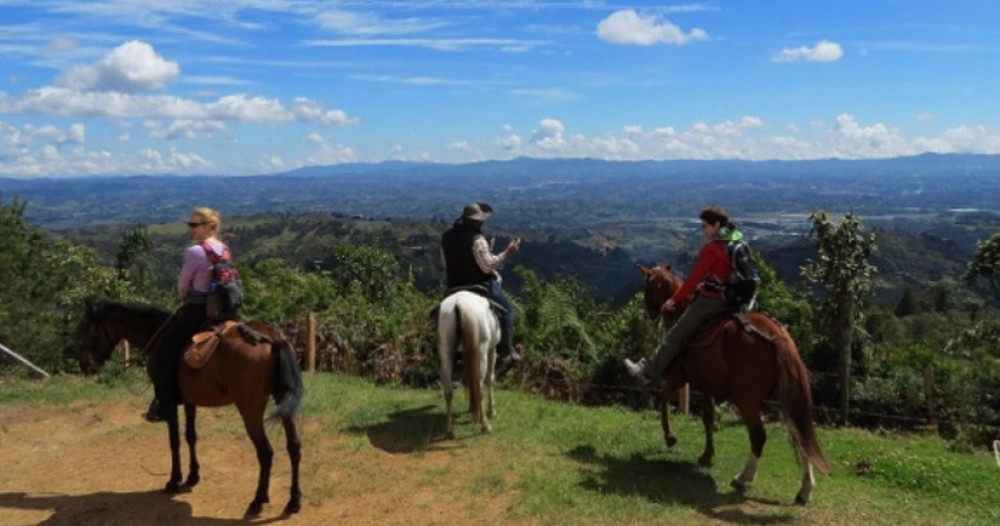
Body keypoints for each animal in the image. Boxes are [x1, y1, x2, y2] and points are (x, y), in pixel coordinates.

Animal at [77, 302, 302, 520]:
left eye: (91, 330)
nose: (85, 364)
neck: (154, 333)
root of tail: (272, 338)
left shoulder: (168, 400)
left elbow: (174, 441)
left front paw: (174, 480)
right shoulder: (189, 401)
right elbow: (191, 436)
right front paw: (193, 476)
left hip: (250, 407)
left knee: (266, 452)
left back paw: (257, 502)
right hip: (282, 400)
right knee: (294, 447)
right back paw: (293, 501)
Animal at [438, 290, 500, 440]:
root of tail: (459, 303)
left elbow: (467, 379)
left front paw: (471, 409)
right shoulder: (492, 350)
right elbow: (490, 378)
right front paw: (492, 410)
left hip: (446, 350)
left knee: (448, 390)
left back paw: (450, 431)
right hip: (481, 351)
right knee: (480, 386)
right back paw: (485, 425)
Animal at [640, 266, 828, 506]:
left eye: (647, 288)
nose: (649, 314)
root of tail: (777, 335)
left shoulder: (678, 376)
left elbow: (663, 398)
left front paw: (670, 437)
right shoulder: (707, 385)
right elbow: (709, 417)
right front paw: (707, 454)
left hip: (747, 400)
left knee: (759, 436)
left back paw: (743, 478)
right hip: (787, 399)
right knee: (800, 436)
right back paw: (805, 489)